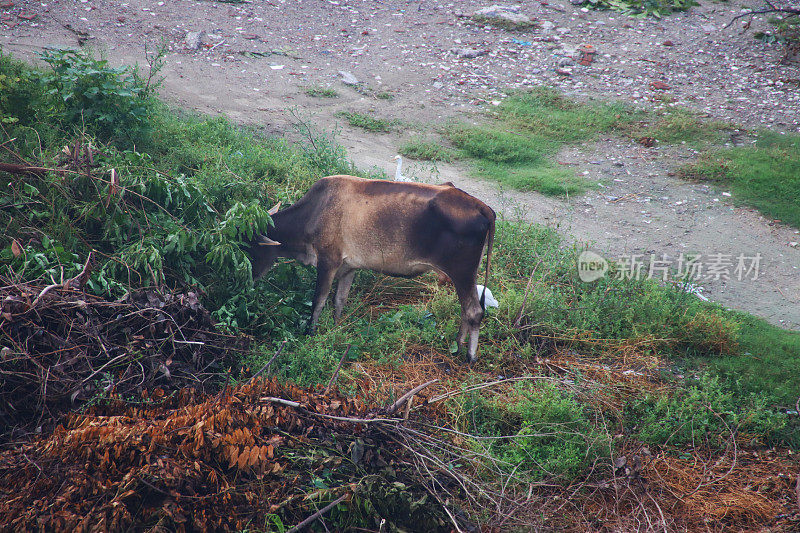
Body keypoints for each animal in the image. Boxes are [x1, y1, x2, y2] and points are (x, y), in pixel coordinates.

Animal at [248, 175, 494, 362]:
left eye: (248, 246)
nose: (249, 280)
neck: (315, 212)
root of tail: (482, 207)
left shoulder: (328, 262)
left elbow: (318, 301)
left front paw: (310, 333)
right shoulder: (349, 267)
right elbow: (339, 300)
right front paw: (336, 327)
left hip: (462, 273)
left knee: (474, 311)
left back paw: (469, 355)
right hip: (466, 276)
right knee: (466, 310)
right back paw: (458, 345)